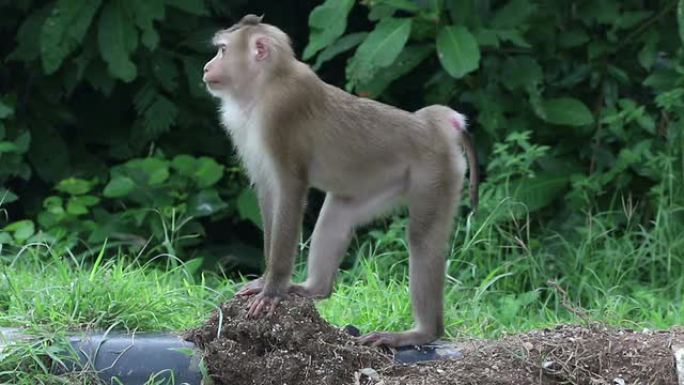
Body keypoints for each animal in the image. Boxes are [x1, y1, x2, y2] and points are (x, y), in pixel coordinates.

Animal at [203, 14, 478, 344]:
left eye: (222, 50)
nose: (206, 67)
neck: (266, 84)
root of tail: (434, 127)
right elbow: (269, 192)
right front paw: (266, 281)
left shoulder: (281, 116)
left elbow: (290, 188)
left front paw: (273, 289)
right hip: (382, 182)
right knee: (338, 214)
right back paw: (313, 288)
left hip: (436, 174)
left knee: (422, 239)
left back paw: (421, 333)